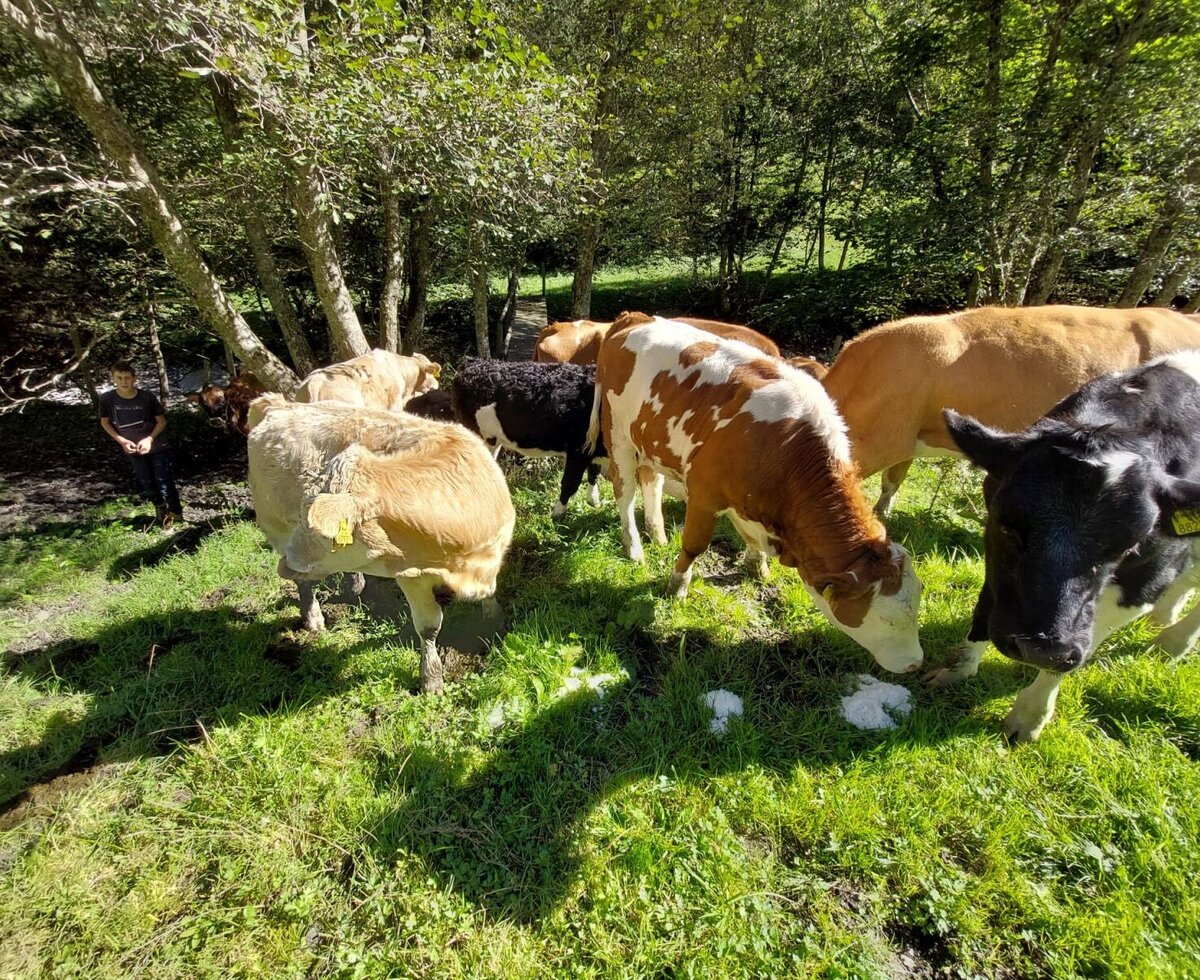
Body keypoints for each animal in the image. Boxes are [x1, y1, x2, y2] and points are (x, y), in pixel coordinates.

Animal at [246, 394, 515, 694]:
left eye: (321, 530)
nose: (286, 563)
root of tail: (279, 406)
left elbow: (489, 595)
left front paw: (494, 620)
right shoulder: (411, 575)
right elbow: (429, 627)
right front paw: (431, 679)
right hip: (278, 529)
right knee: (304, 583)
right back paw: (313, 617)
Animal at [451, 359, 607, 517]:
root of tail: (473, 364)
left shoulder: (591, 449)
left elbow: (593, 474)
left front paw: (594, 502)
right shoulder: (578, 450)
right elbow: (570, 483)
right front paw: (557, 514)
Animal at [591, 315, 924, 673]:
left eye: (918, 603)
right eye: (887, 620)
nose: (915, 664)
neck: (787, 449)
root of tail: (636, 317)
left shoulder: (748, 500)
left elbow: (749, 536)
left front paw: (757, 565)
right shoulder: (705, 492)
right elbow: (694, 545)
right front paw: (677, 586)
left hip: (650, 440)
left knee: (651, 483)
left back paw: (658, 534)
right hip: (618, 435)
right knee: (625, 493)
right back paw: (635, 548)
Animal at [924, 351, 1200, 741]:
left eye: (1127, 547)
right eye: (1009, 526)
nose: (1041, 648)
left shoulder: (1143, 583)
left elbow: (1076, 652)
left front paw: (1029, 716)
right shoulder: (995, 552)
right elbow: (984, 610)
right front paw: (955, 671)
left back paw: (1173, 641)